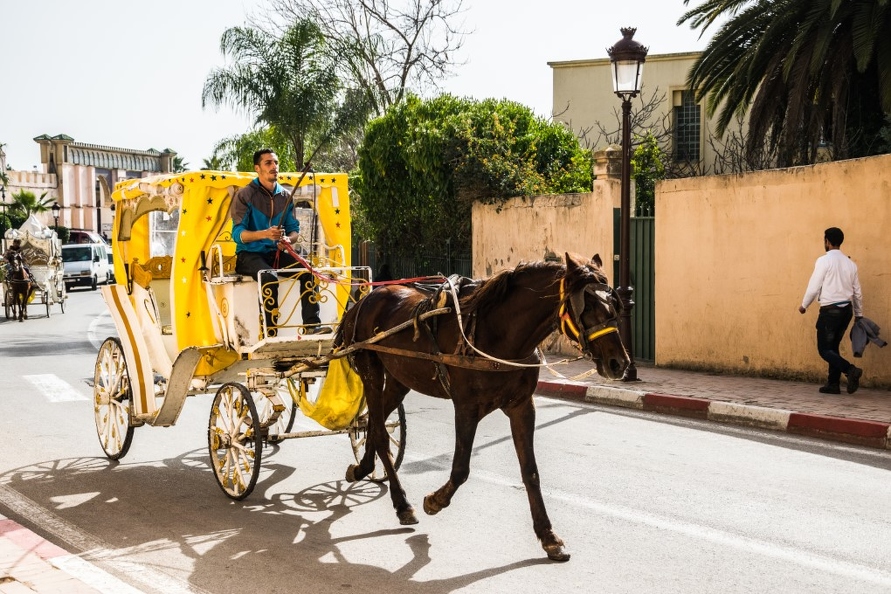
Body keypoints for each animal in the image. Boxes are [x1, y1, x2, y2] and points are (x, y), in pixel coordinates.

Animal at [338, 250, 632, 560]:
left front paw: (548, 535)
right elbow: (461, 468)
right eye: (588, 305)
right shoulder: (467, 407)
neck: (499, 333)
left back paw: (363, 468)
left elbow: (531, 472)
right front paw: (435, 500)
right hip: (369, 367)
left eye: (615, 303)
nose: (619, 363)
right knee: (380, 432)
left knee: (374, 422)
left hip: (399, 378)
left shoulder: (522, 407)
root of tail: (366, 298)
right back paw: (401, 503)